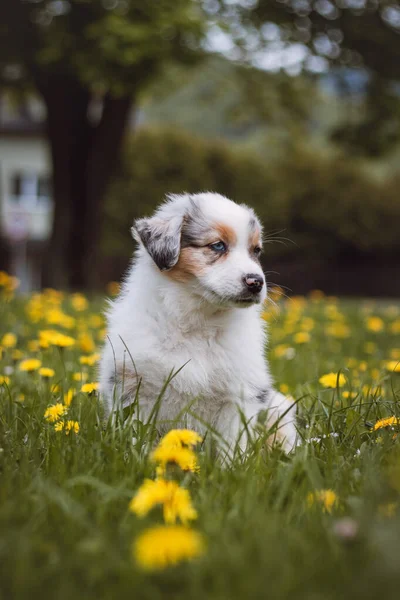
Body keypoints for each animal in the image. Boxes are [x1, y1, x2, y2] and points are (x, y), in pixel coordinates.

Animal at [98, 195, 296, 452]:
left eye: (256, 250)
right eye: (218, 245)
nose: (256, 282)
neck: (198, 320)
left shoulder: (238, 395)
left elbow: (232, 446)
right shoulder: (134, 385)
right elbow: (137, 437)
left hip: (279, 410)